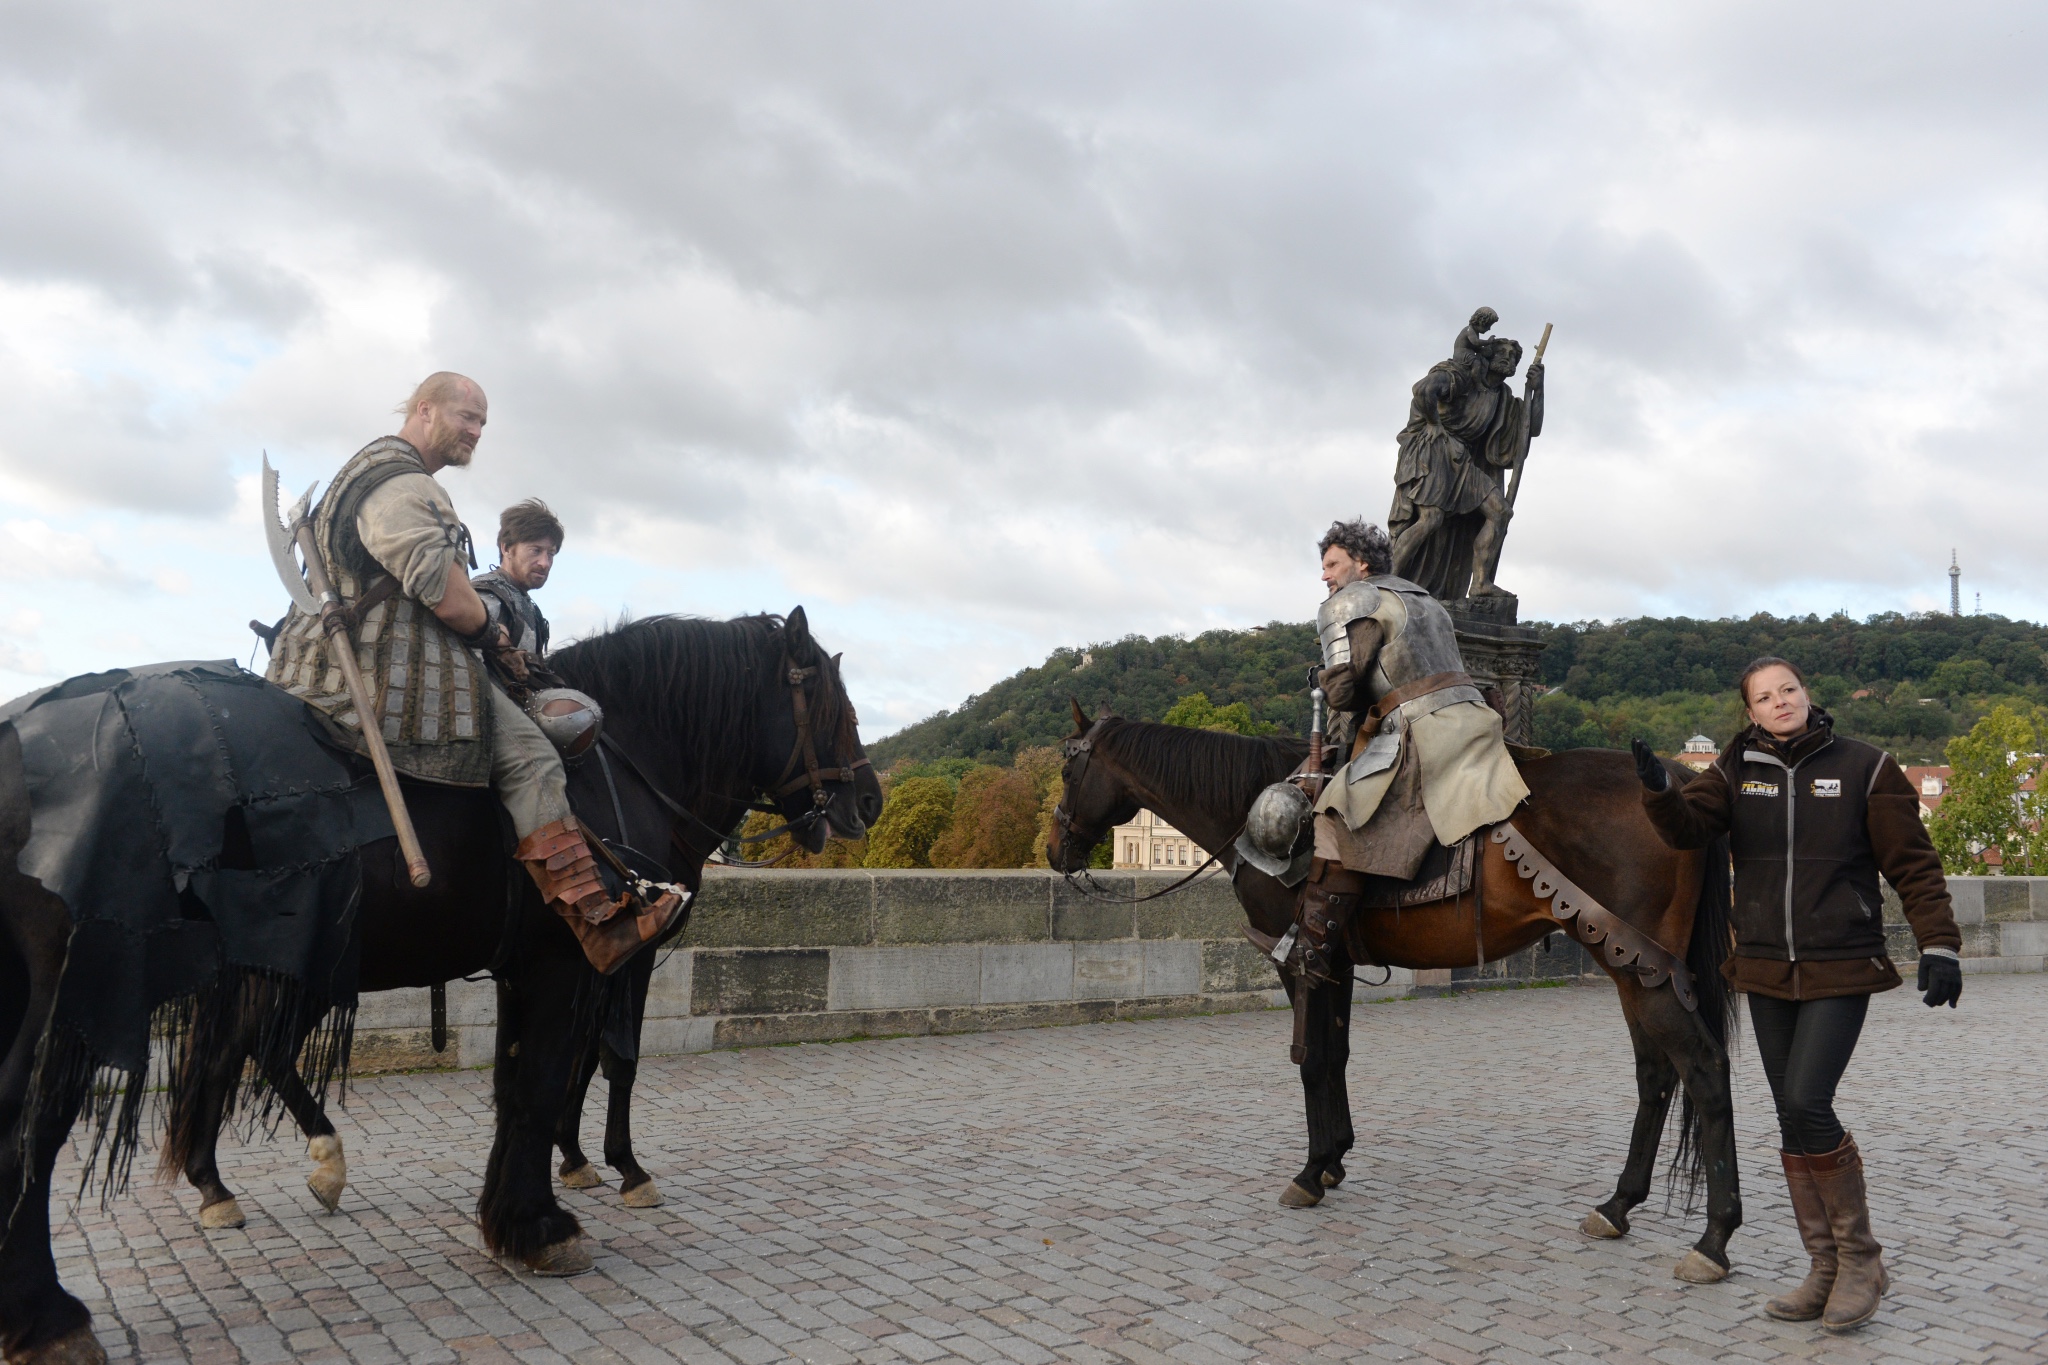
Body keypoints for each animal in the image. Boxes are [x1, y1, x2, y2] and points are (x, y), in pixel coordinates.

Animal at [0, 609, 868, 1365]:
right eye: (831, 698)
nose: (870, 796)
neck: (620, 763)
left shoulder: (538, 967)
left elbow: (531, 1082)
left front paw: (536, 1198)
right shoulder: (583, 962)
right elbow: (567, 1073)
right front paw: (555, 1214)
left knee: (226, 1053)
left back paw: (233, 1183)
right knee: (42, 1123)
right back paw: (49, 1316)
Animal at [1040, 712, 1744, 1285]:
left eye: (1070, 766)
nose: (1055, 849)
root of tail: (1682, 787)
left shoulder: (1300, 959)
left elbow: (1312, 1061)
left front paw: (1311, 1171)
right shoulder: (1337, 962)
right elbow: (1337, 1055)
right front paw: (1333, 1159)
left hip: (1641, 967)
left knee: (1705, 1069)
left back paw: (1713, 1240)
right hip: (1628, 966)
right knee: (1656, 1075)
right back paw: (1618, 1206)